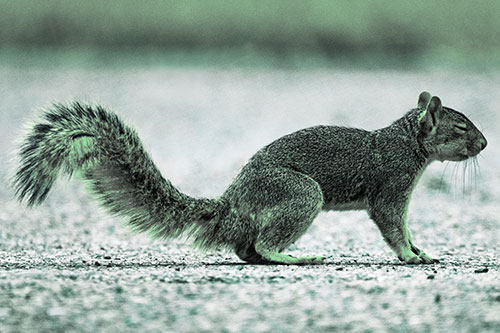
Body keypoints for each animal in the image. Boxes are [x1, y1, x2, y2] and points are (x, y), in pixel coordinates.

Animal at [11, 91, 486, 264]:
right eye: (460, 127)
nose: (483, 144)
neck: (407, 142)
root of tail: (231, 205)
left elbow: (405, 226)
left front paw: (421, 250)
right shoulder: (391, 185)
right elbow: (392, 225)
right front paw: (410, 255)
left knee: (246, 250)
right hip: (300, 194)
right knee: (261, 244)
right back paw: (294, 258)